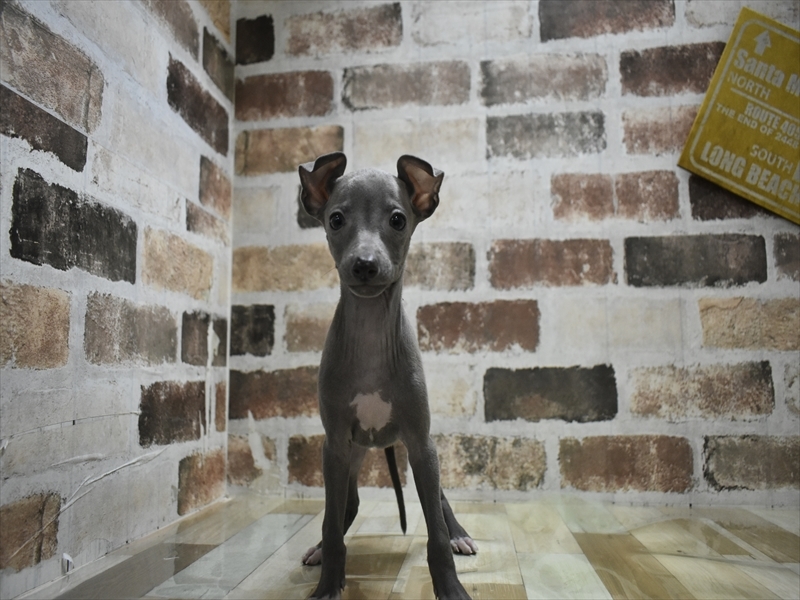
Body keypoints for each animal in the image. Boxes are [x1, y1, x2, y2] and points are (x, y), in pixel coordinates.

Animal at [298, 152, 477, 599]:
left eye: (398, 220)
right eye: (335, 219)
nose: (364, 265)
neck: (370, 335)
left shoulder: (421, 441)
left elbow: (434, 530)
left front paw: (451, 587)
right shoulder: (334, 446)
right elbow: (331, 521)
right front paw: (328, 583)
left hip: (420, 450)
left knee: (438, 501)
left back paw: (459, 533)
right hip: (352, 454)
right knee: (346, 506)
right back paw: (321, 549)